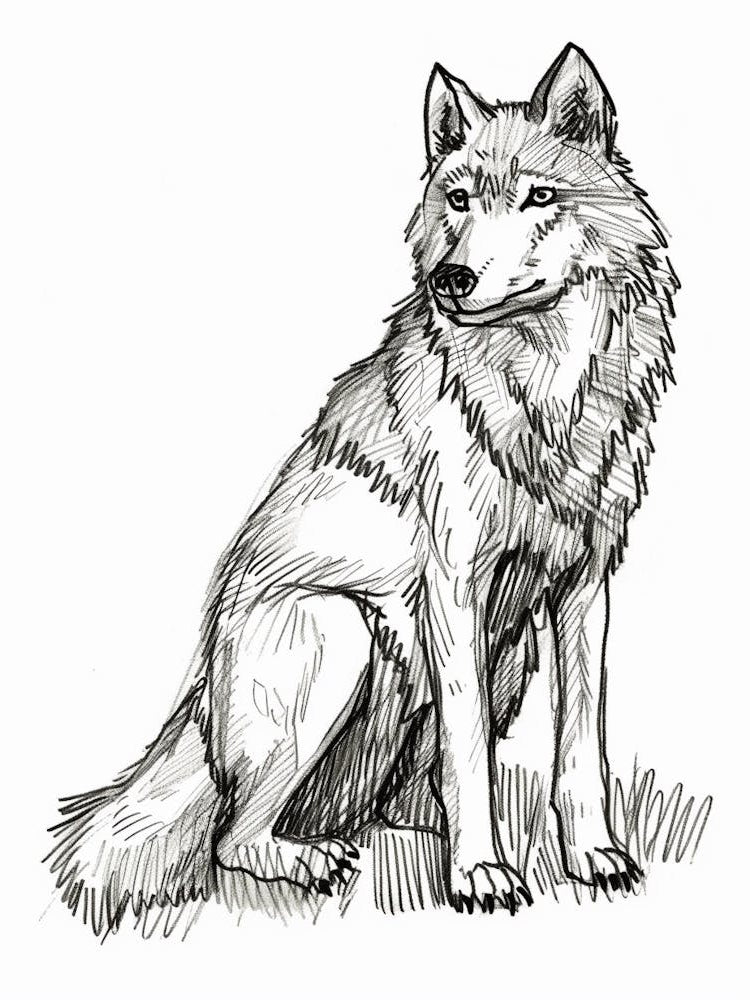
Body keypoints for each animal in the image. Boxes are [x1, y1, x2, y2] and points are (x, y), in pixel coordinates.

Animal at [48, 43, 678, 927]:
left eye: (539, 197)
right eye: (458, 199)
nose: (451, 278)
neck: (542, 385)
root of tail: (198, 701)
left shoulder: (585, 583)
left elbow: (579, 745)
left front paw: (591, 855)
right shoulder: (454, 582)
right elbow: (468, 753)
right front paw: (480, 873)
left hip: (507, 648)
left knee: (394, 792)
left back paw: (408, 820)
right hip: (340, 631)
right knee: (236, 835)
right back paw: (311, 858)